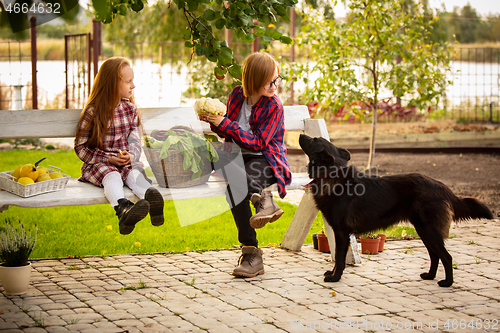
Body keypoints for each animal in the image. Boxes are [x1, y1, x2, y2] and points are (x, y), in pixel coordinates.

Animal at [298, 134, 494, 286]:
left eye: (314, 139)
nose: (300, 135)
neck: (331, 175)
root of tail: (442, 186)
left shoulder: (341, 232)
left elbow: (339, 258)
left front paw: (335, 277)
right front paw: (332, 273)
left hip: (429, 230)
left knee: (446, 257)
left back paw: (447, 283)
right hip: (423, 230)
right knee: (435, 255)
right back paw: (430, 276)